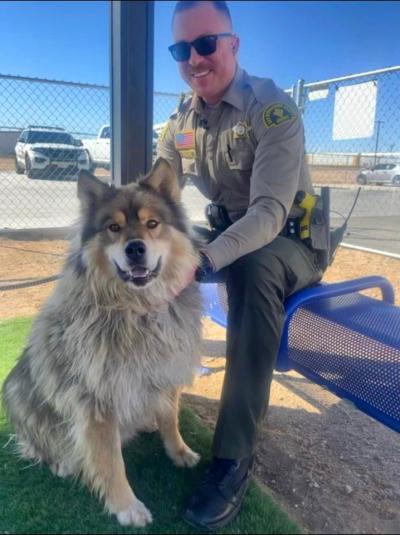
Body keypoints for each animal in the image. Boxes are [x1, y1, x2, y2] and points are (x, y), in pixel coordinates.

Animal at [2, 159, 203, 528]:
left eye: (153, 224)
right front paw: (126, 506)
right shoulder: (96, 399)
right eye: (113, 227)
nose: (135, 248)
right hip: (20, 394)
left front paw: (179, 451)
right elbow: (110, 460)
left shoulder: (167, 369)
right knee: (39, 443)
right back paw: (61, 461)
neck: (136, 310)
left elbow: (171, 418)